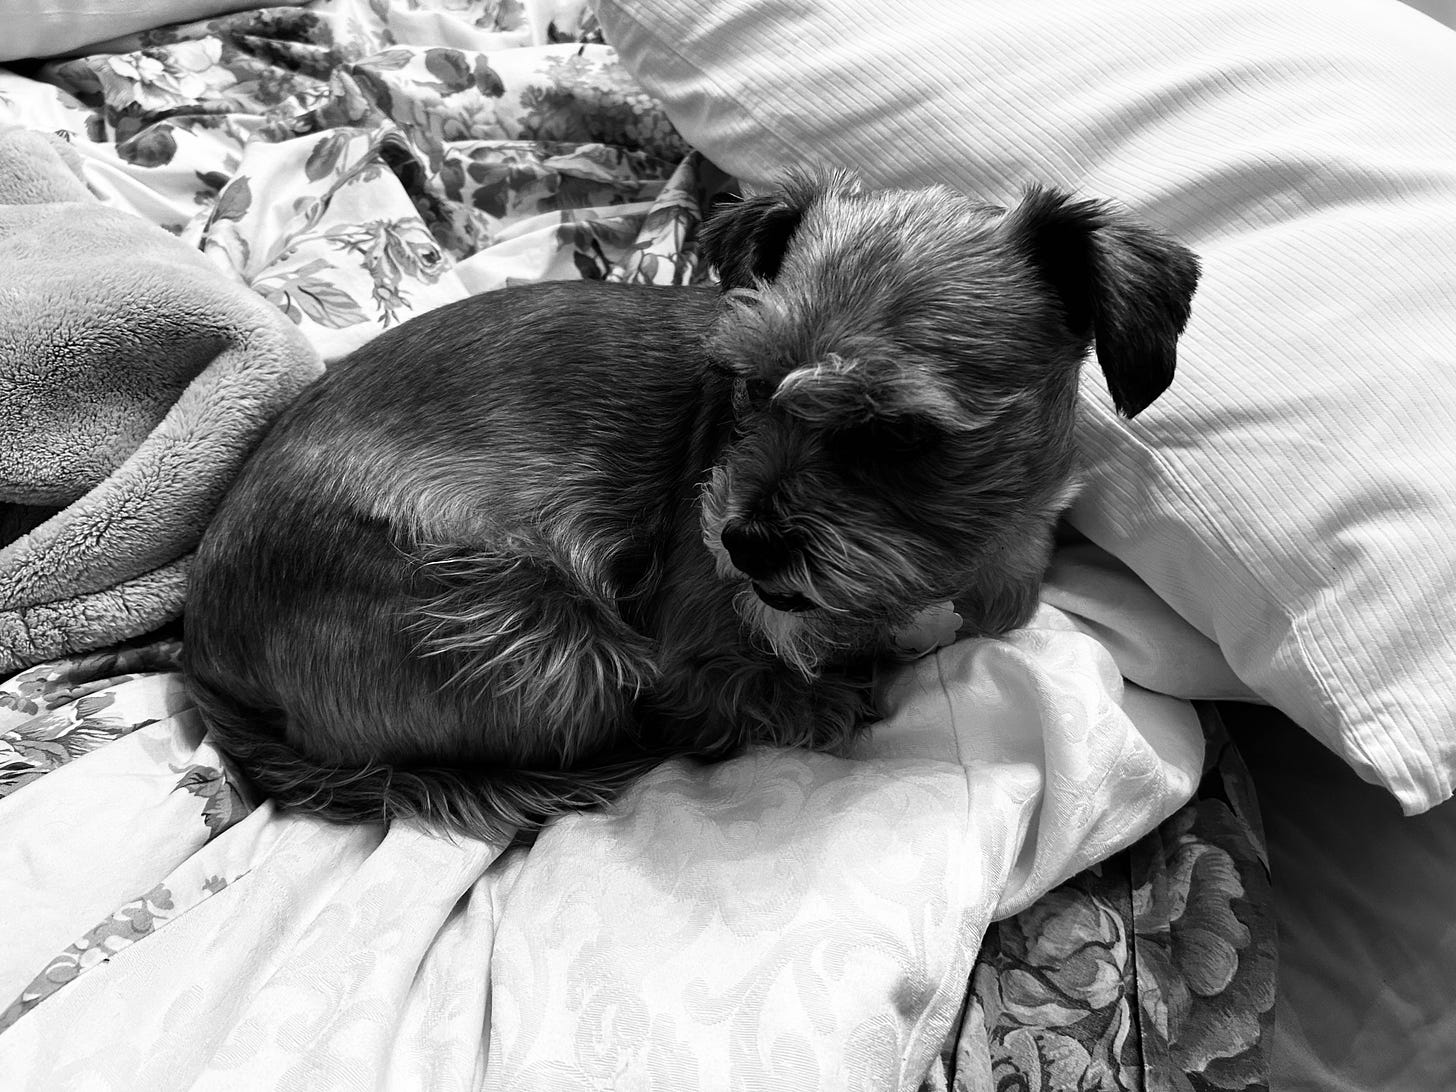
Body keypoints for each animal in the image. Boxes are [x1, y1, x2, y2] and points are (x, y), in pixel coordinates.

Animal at [182, 169, 1200, 841]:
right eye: (746, 386)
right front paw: (835, 685)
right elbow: (775, 697)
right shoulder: (687, 655)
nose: (744, 543)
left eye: (900, 436)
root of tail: (207, 648)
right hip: (543, 642)